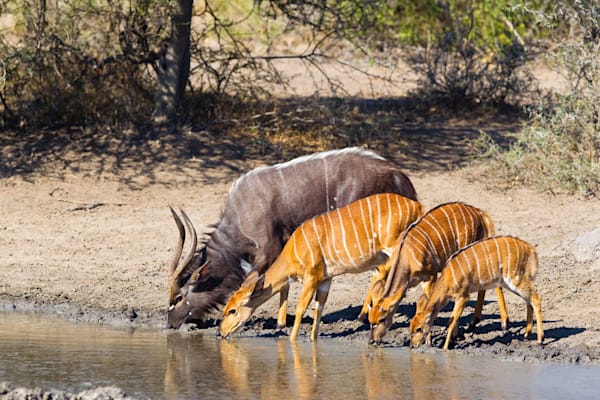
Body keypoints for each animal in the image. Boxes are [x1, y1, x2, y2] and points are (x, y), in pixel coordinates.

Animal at [219, 193, 422, 340]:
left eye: (232, 310)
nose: (221, 332)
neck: (293, 251)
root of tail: (417, 207)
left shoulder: (311, 277)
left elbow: (301, 308)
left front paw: (292, 341)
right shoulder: (326, 279)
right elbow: (319, 308)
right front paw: (312, 340)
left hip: (396, 249)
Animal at [368, 202, 508, 346]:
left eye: (382, 319)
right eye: (370, 320)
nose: (372, 341)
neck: (405, 255)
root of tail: (479, 212)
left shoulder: (431, 276)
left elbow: (430, 304)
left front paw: (429, 340)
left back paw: (504, 324)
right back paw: (473, 322)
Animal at [412, 236, 544, 348]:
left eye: (419, 328)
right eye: (410, 328)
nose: (412, 345)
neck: (448, 279)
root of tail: (530, 249)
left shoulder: (464, 296)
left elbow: (451, 321)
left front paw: (445, 348)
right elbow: (454, 320)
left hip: (515, 279)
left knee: (536, 299)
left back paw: (540, 339)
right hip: (512, 283)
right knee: (529, 301)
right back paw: (526, 334)